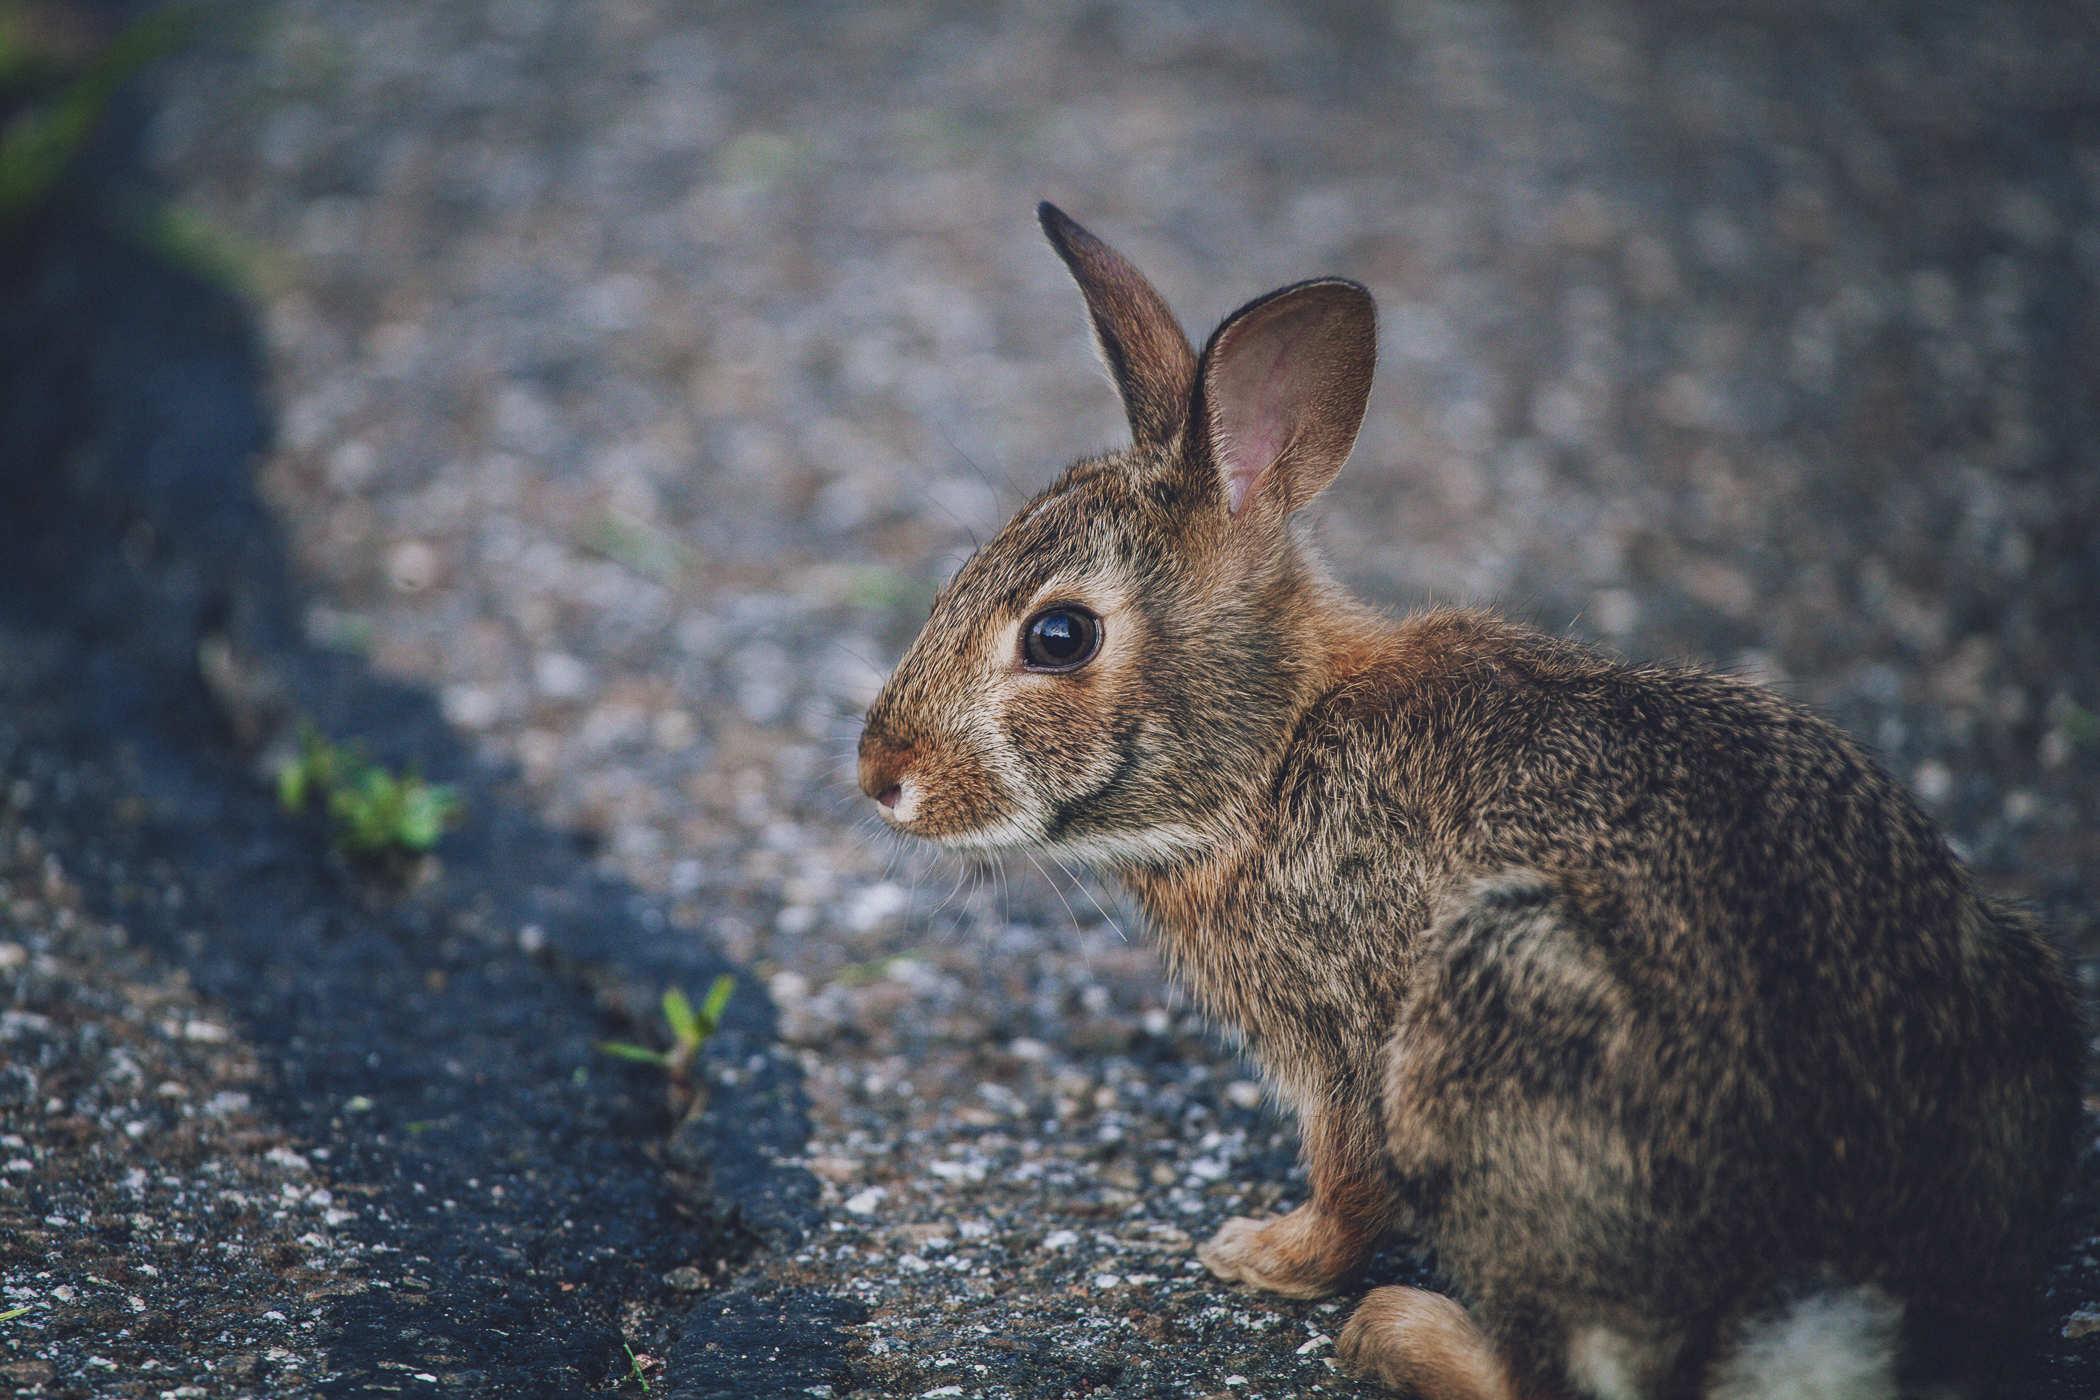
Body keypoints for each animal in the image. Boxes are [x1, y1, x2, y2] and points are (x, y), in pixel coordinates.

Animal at [855, 203, 2083, 1400]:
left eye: (1060, 635)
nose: (879, 774)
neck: (1274, 751)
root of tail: (1820, 1309)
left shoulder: (1347, 1041)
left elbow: (1350, 1186)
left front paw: (1261, 1255)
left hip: (1500, 1014)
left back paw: (1398, 1331)